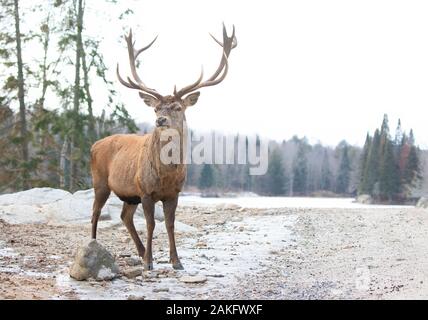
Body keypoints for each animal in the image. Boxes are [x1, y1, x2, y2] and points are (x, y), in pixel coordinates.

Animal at [90, 24, 237, 270]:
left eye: (178, 107)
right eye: (156, 108)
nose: (160, 120)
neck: (166, 174)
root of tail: (93, 144)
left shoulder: (174, 193)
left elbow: (170, 224)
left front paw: (176, 261)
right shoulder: (145, 190)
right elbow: (151, 224)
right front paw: (149, 262)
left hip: (129, 193)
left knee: (124, 216)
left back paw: (140, 251)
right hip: (100, 182)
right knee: (95, 213)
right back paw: (94, 246)